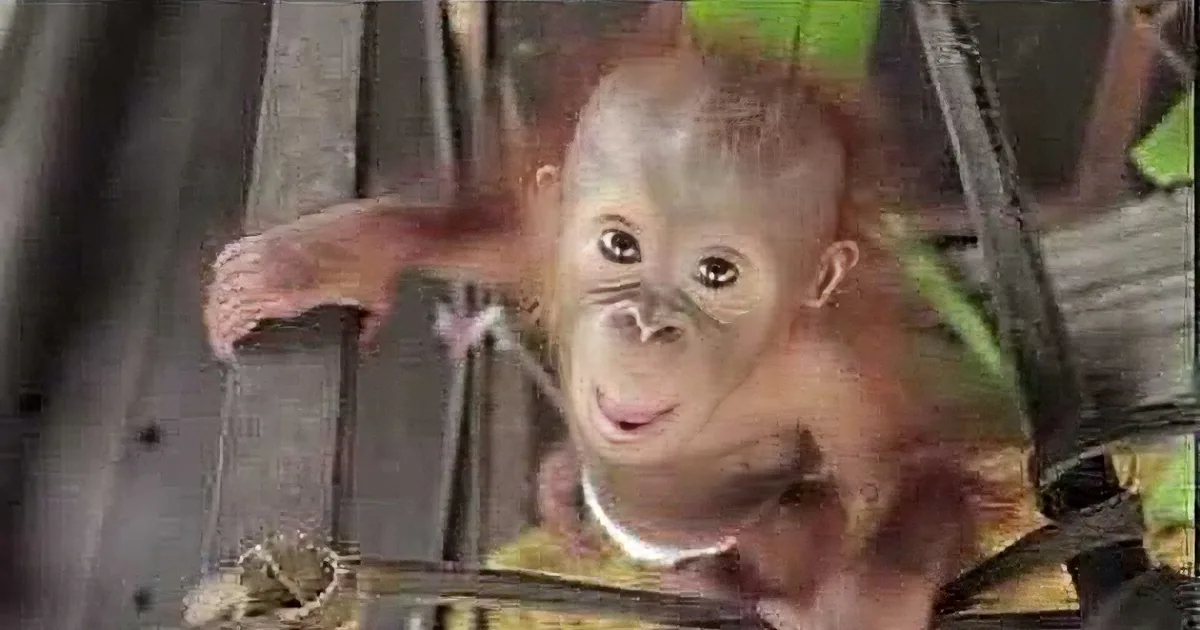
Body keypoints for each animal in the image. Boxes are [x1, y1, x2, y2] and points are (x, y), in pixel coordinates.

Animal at [204, 7, 1025, 629]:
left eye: (716, 273)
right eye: (619, 245)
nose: (645, 324)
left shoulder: (832, 376)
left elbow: (909, 472)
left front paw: (866, 603)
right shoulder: (550, 234)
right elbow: (501, 240)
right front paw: (330, 256)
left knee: (797, 518)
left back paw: (714, 583)